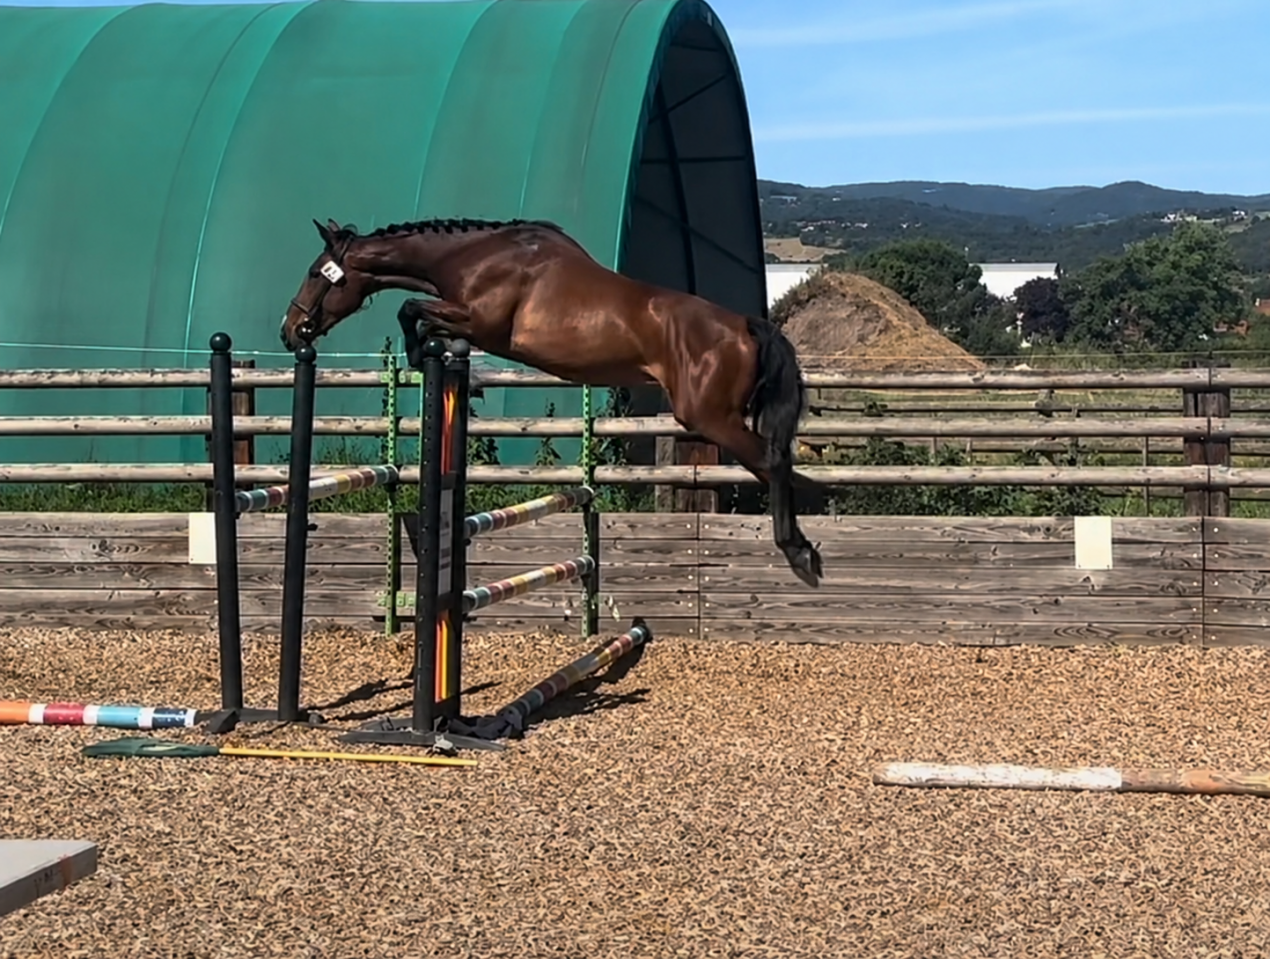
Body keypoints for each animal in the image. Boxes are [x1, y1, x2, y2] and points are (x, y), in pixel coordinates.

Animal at [280, 217, 824, 586]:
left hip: (708, 416)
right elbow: (418, 313)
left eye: (316, 273)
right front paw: (460, 375)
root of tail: (746, 326)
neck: (474, 256)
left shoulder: (479, 321)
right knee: (782, 469)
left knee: (775, 462)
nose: (291, 331)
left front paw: (422, 356)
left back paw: (797, 552)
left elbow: (411, 307)